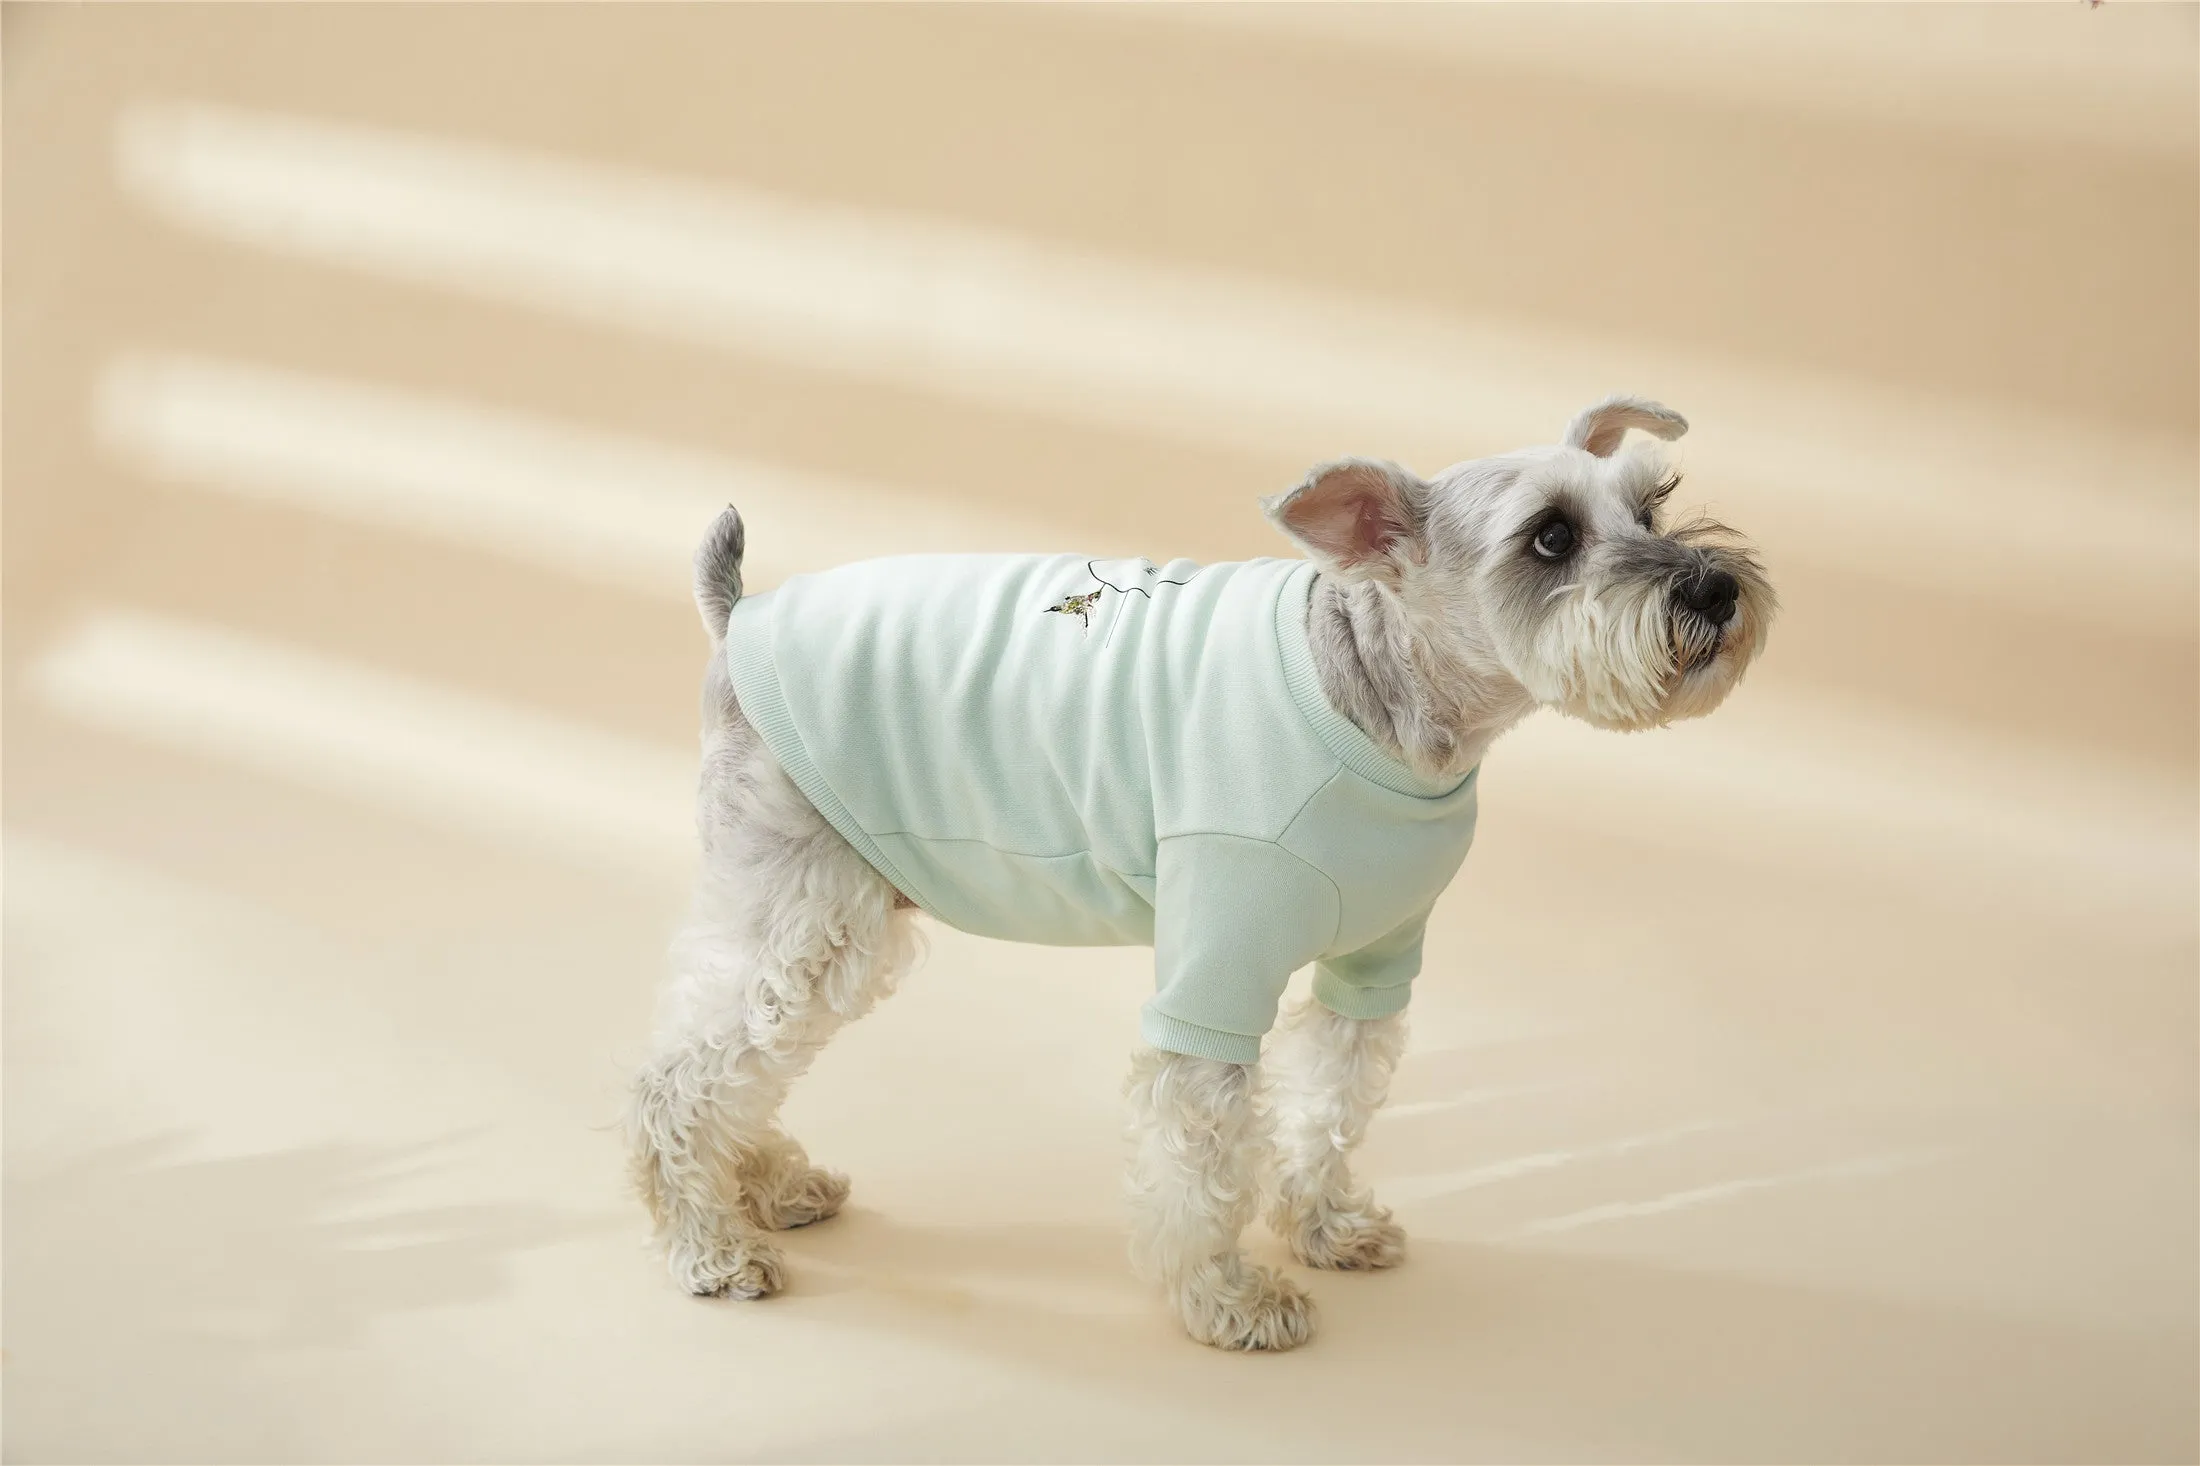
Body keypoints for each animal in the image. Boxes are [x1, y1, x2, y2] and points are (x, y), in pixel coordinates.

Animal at [620, 391, 1768, 1347]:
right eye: (1551, 535)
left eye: (1654, 505)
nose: (1715, 587)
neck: (1376, 693)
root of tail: (741, 612)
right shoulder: (1215, 968)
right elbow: (1205, 1150)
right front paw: (1229, 1298)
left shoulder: (1375, 964)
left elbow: (1332, 1101)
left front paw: (1326, 1224)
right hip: (808, 907)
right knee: (681, 1074)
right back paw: (710, 1243)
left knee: (737, 1061)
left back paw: (768, 1183)